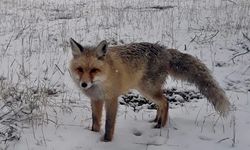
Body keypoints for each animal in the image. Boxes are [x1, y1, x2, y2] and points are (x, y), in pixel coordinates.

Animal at [68, 38, 230, 141]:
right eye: (80, 69)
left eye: (94, 70)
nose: (84, 84)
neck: (103, 80)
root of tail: (165, 50)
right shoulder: (96, 99)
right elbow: (96, 122)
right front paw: (93, 136)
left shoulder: (111, 99)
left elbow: (109, 125)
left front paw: (106, 141)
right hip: (148, 90)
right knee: (161, 103)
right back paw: (156, 120)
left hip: (147, 89)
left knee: (165, 101)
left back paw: (161, 125)